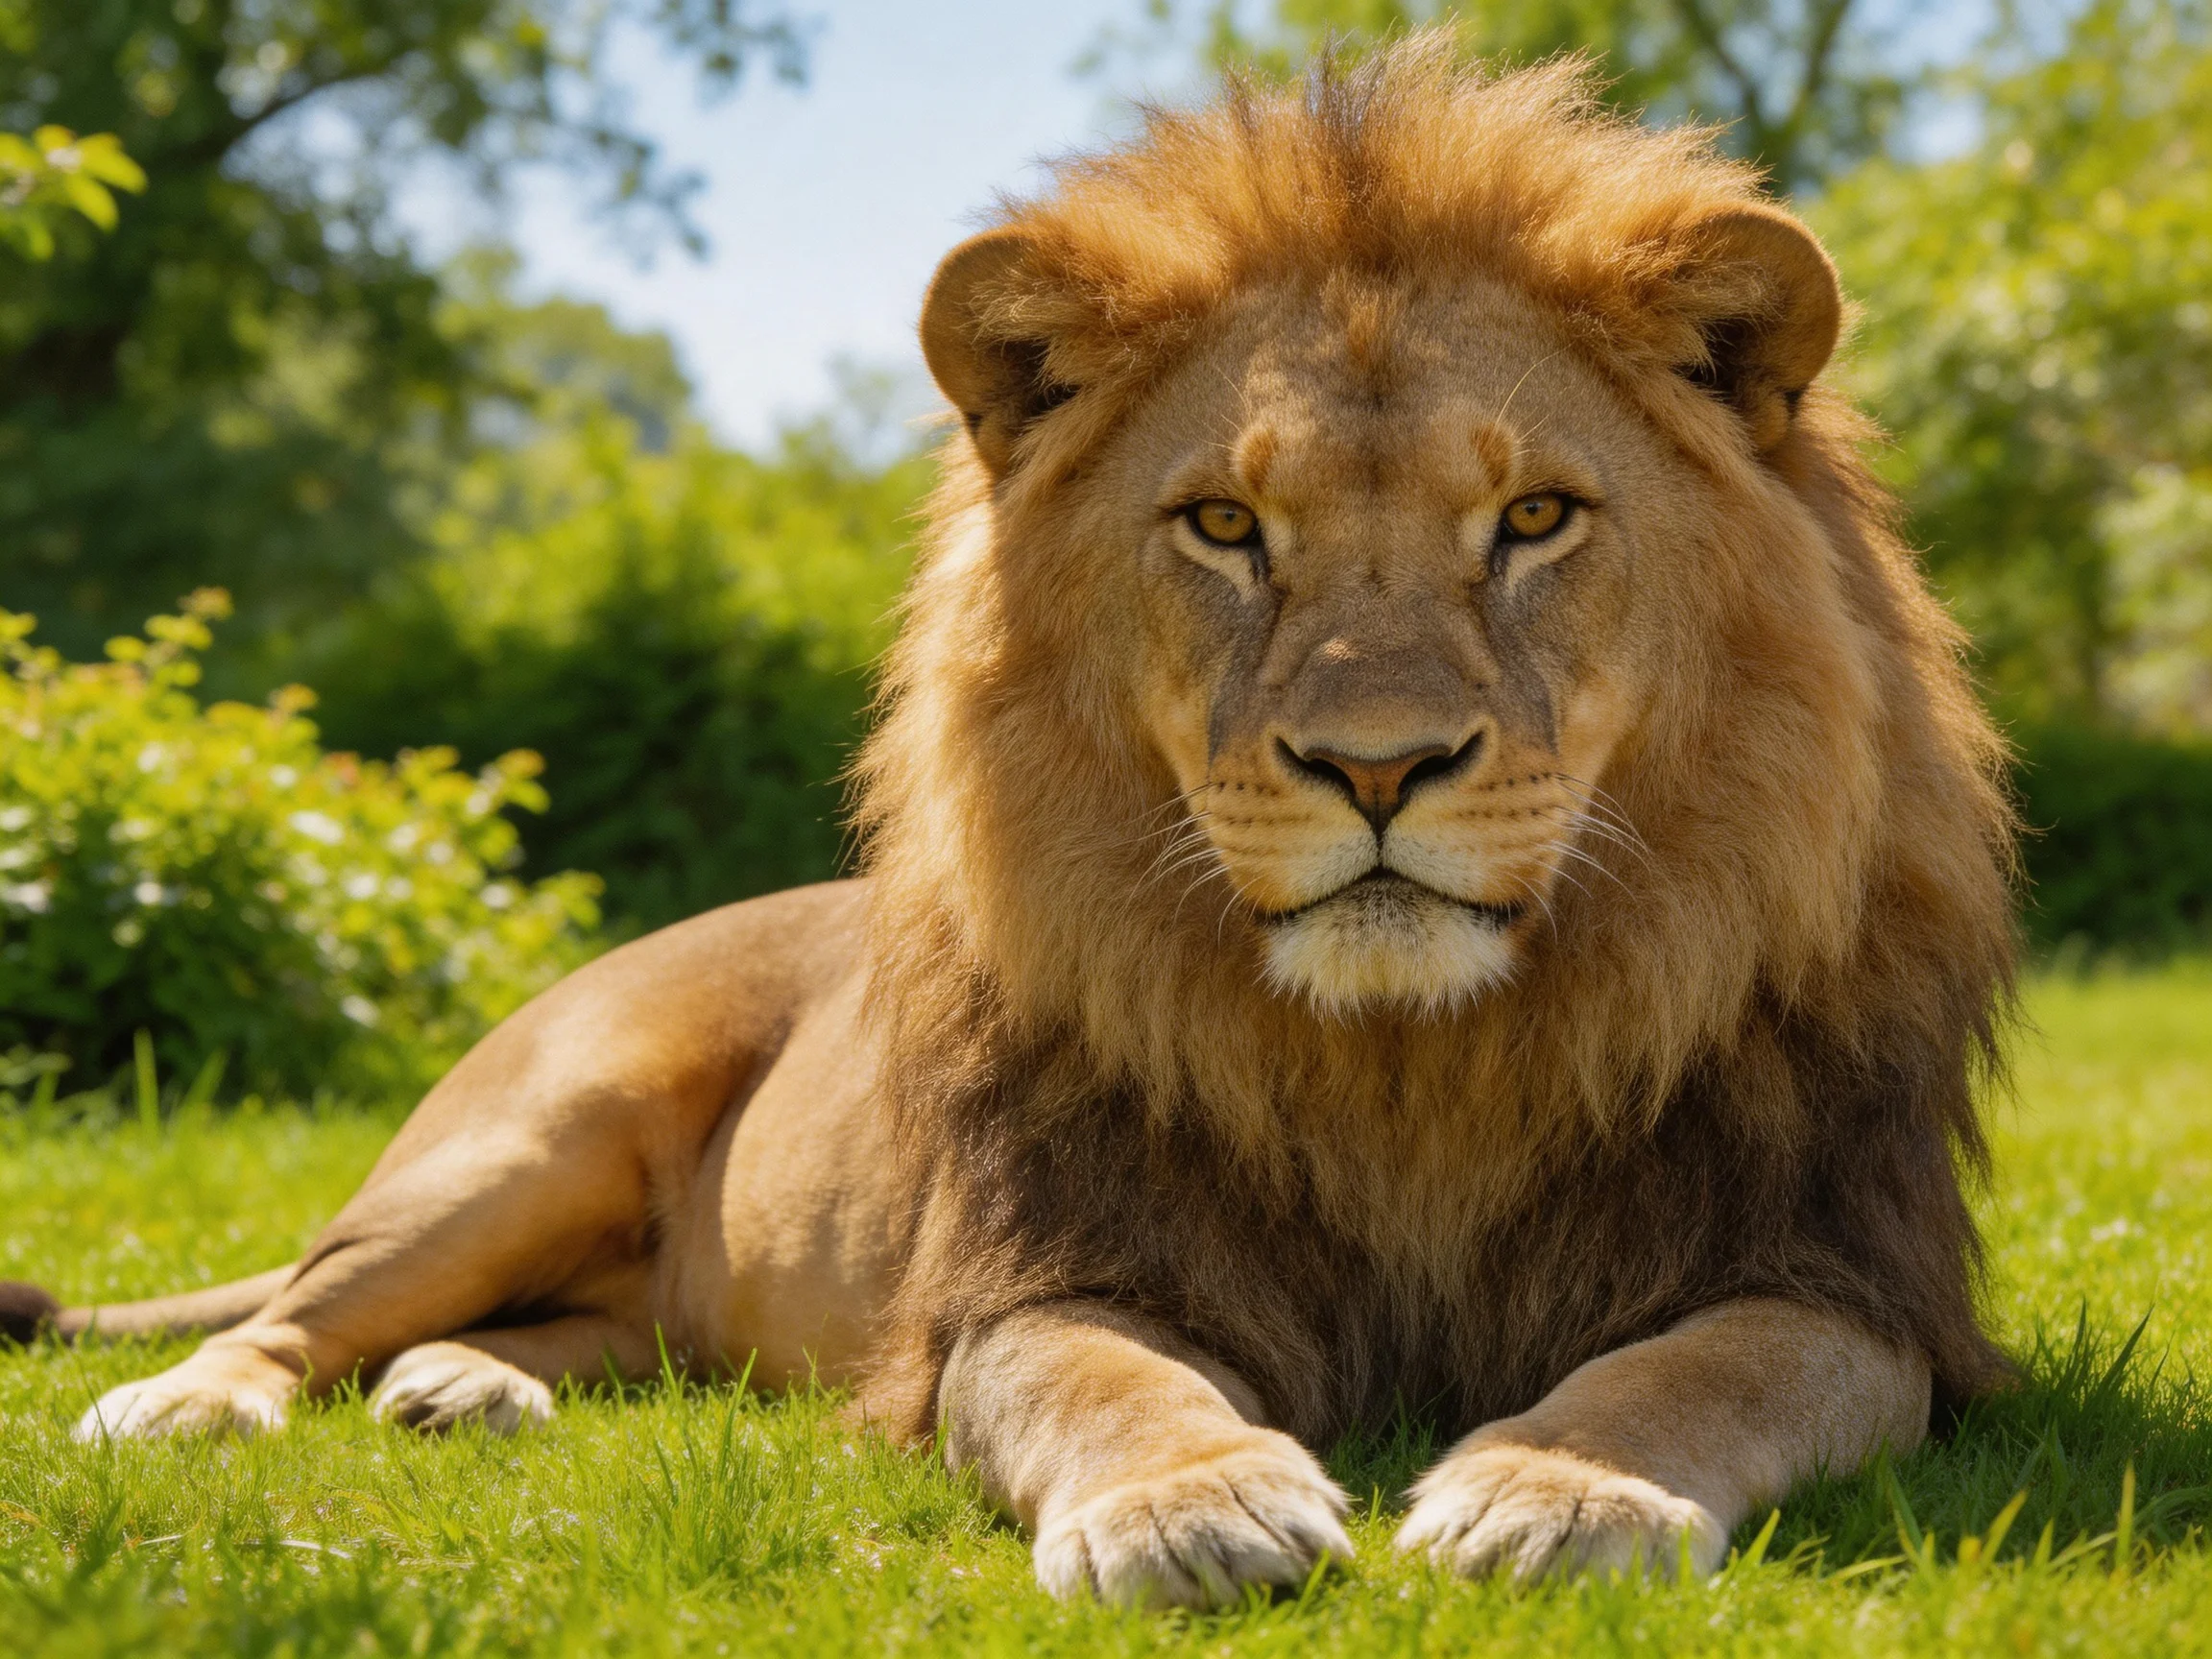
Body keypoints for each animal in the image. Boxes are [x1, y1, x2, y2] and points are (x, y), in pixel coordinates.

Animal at [0, 41, 2016, 1608]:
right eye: (1222, 526)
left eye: (1531, 519)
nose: (1374, 766)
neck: (1408, 1068)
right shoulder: (1035, 1271)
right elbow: (1100, 1382)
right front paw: (1192, 1501)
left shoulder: (1848, 1275)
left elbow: (1706, 1369)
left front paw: (1556, 1483)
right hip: (524, 1139)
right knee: (293, 1310)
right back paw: (186, 1404)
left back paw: (465, 1389)